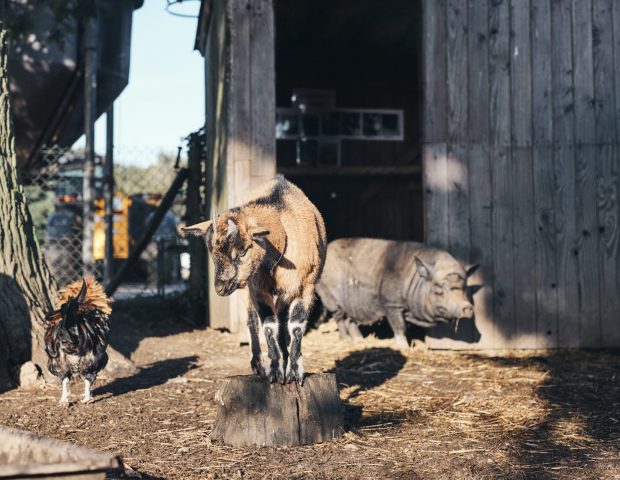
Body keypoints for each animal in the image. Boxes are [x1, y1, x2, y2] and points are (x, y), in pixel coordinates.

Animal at [182, 174, 326, 384]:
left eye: (242, 251)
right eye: (212, 253)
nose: (220, 287)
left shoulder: (305, 286)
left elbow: (296, 326)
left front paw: (294, 372)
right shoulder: (258, 289)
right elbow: (268, 325)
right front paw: (274, 371)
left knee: (282, 319)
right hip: (245, 289)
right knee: (252, 321)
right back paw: (258, 364)